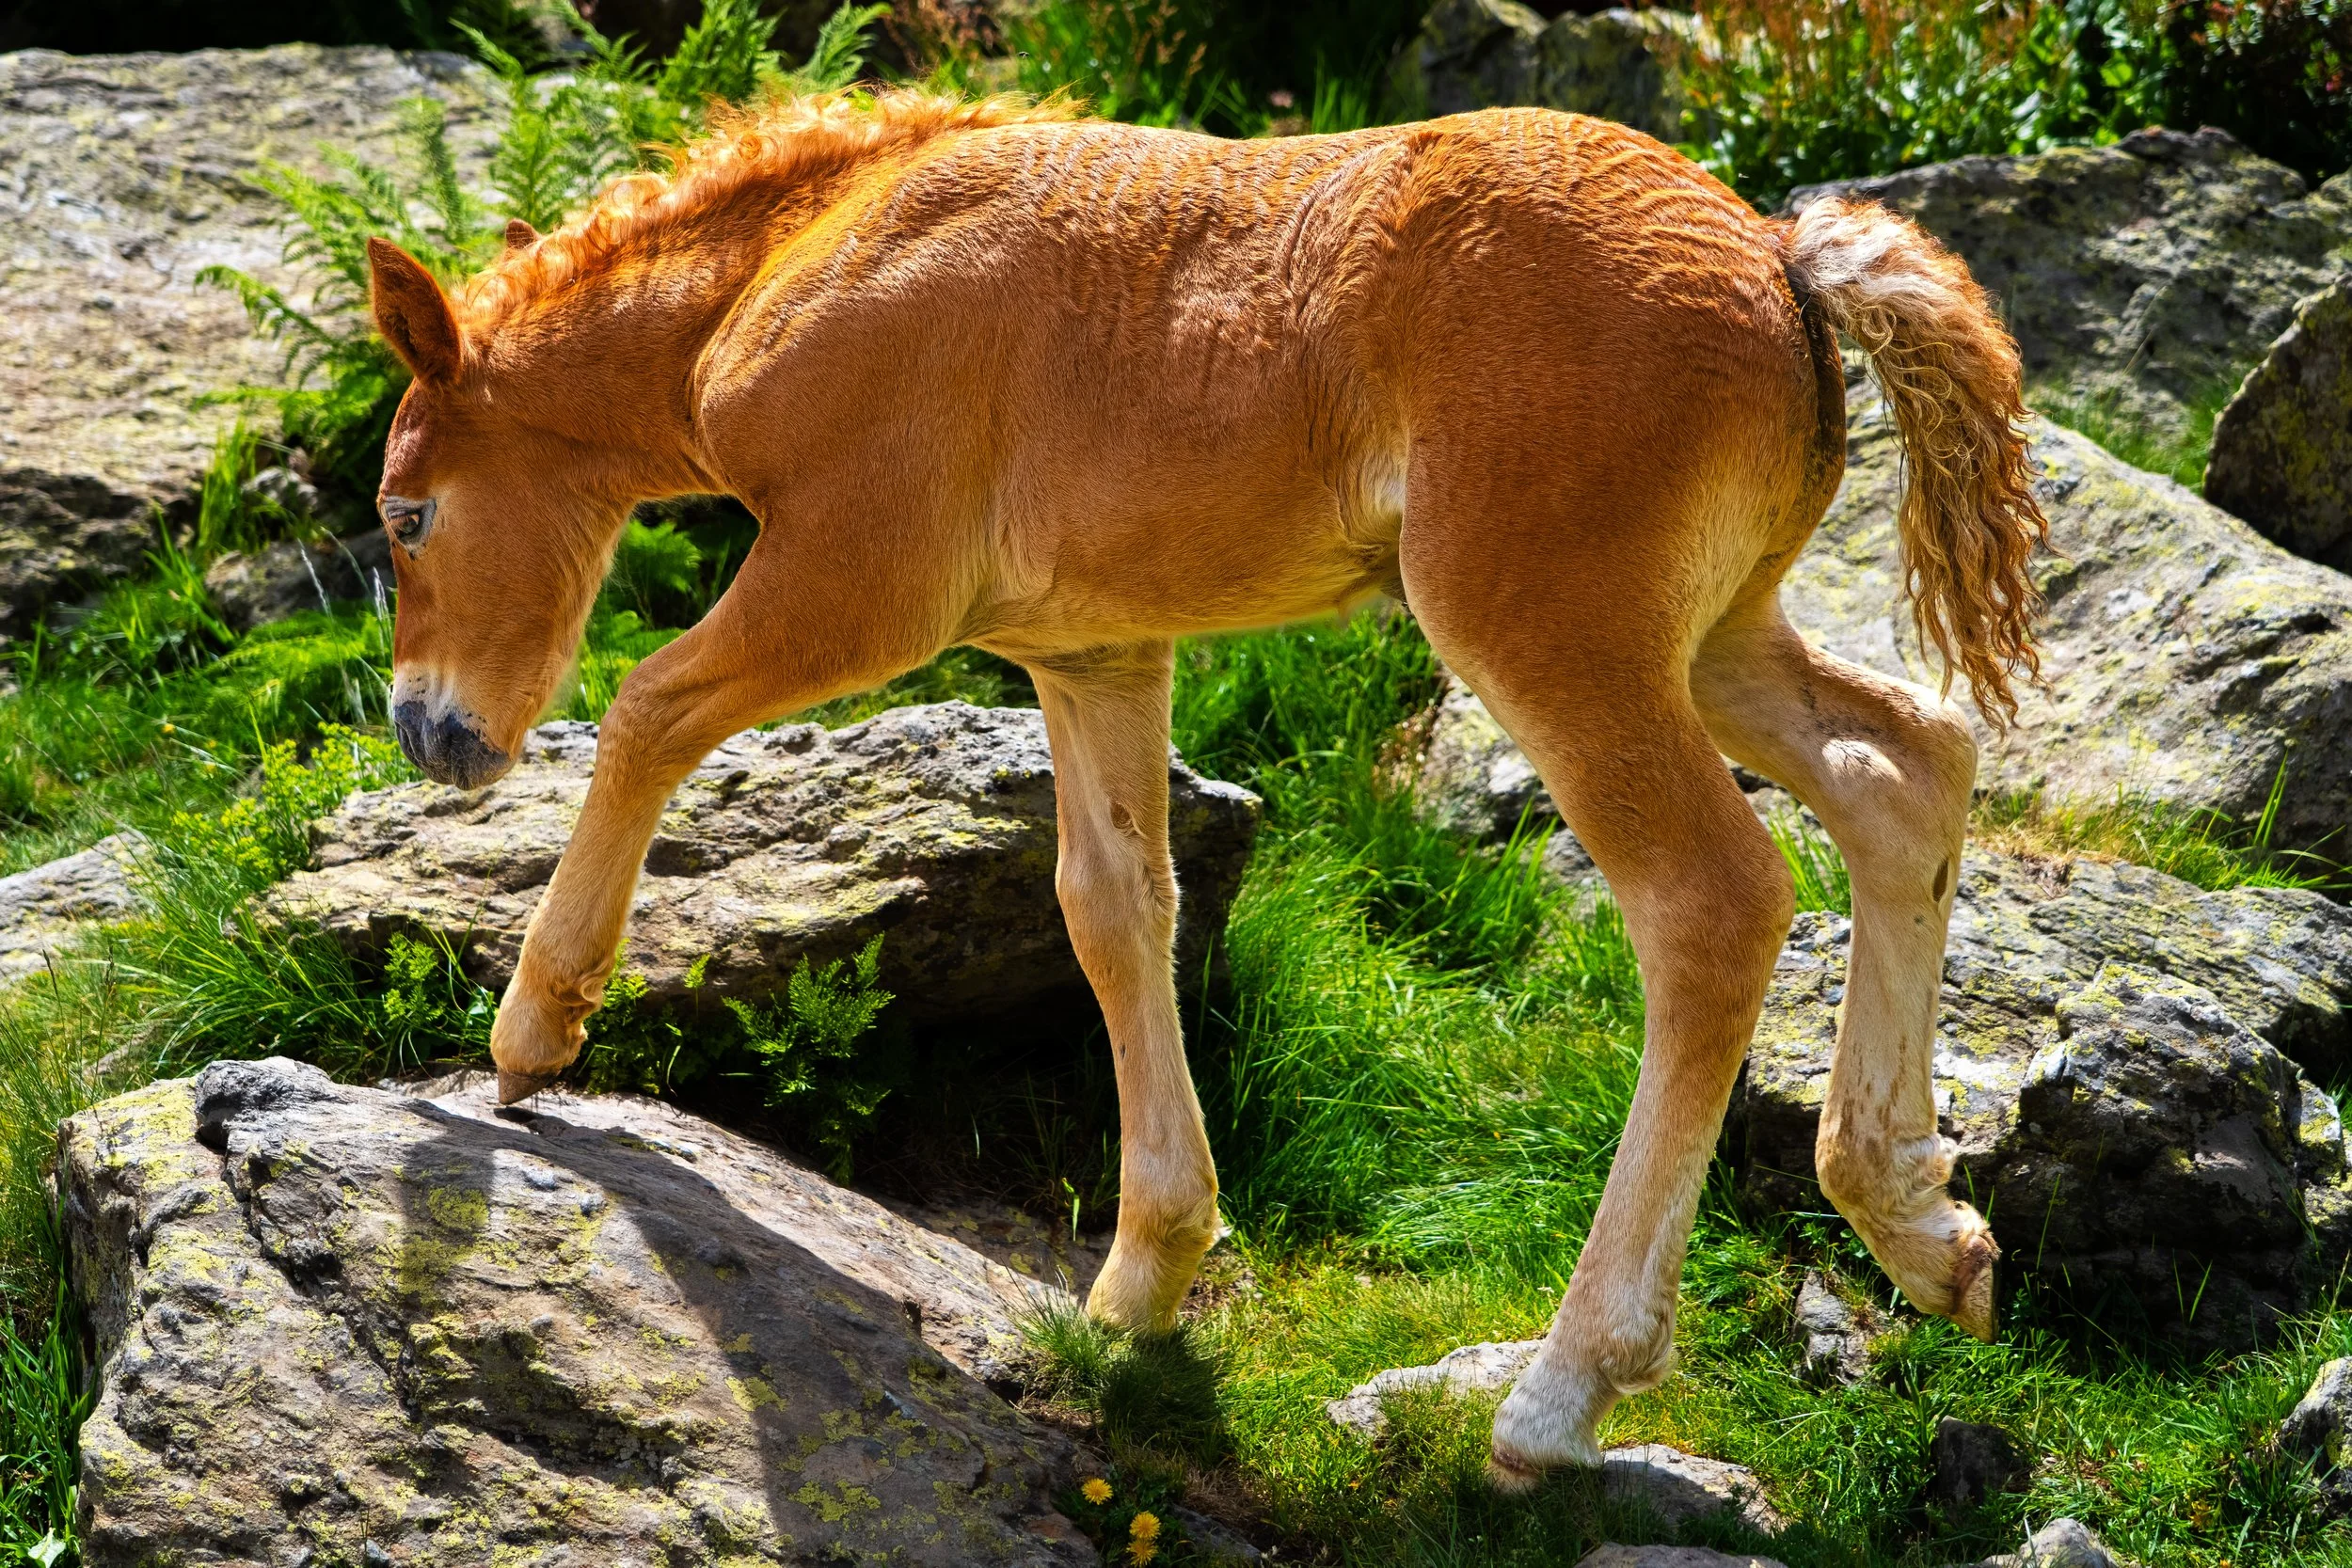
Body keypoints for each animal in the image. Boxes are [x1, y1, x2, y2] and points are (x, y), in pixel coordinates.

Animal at [365, 88, 2045, 1485]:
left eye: (403, 513)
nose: (428, 732)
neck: (795, 259)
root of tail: (1781, 256)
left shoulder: (858, 581)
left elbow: (647, 711)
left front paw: (534, 1027)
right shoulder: (1091, 644)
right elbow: (1115, 904)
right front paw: (1145, 1271)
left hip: (1550, 624)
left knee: (1713, 900)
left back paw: (1564, 1391)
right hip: (1712, 628)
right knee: (1904, 765)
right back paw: (1922, 1222)